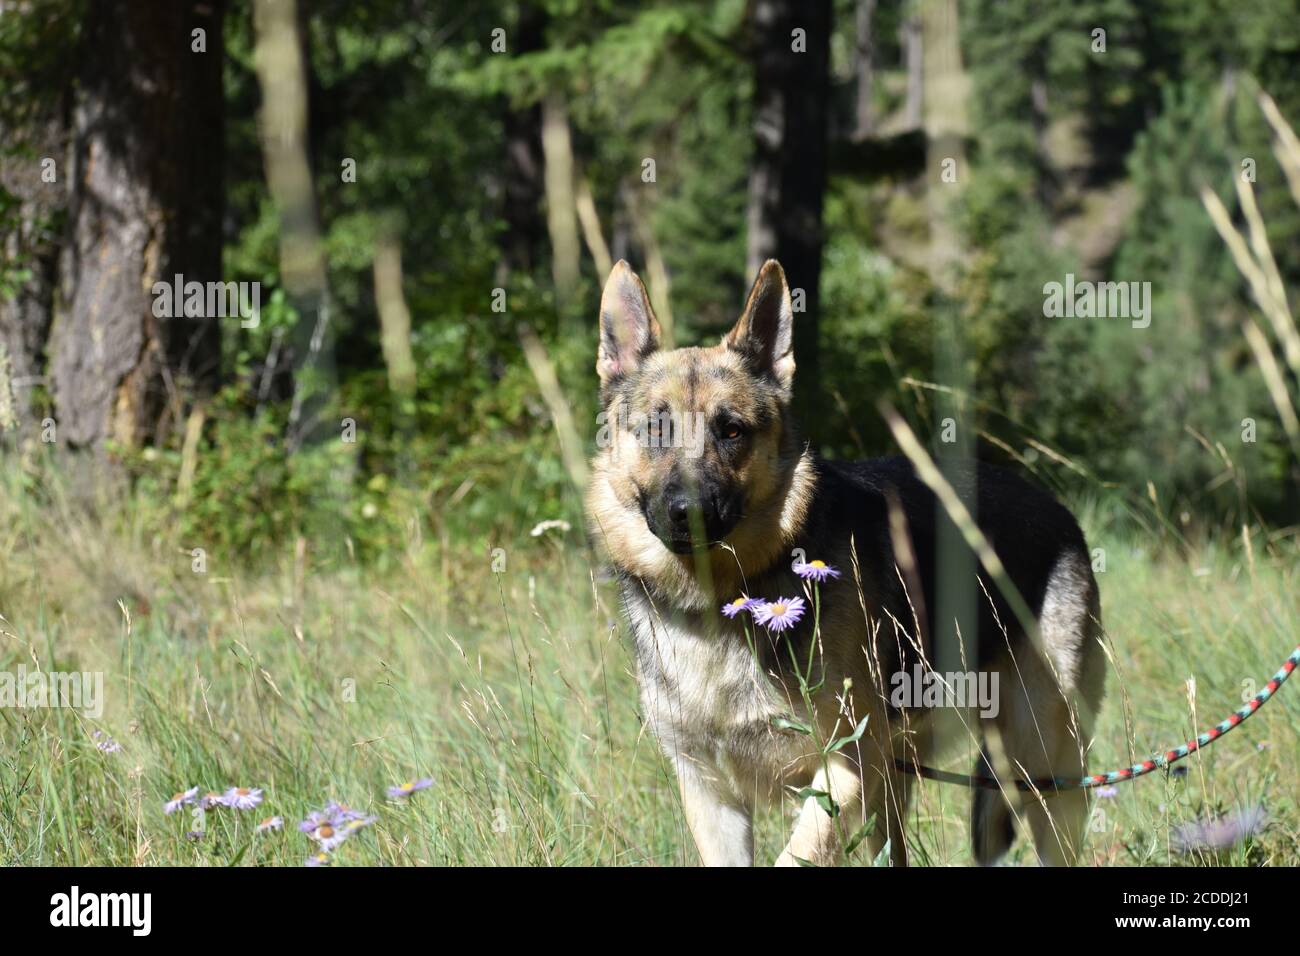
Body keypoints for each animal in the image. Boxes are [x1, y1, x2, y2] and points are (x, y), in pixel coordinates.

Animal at [590, 256, 1107, 868]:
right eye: (656, 427)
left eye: (731, 430)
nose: (688, 512)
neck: (722, 600)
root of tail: (1057, 508)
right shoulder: (712, 796)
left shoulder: (844, 769)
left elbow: (794, 856)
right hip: (904, 781)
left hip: (1041, 774)